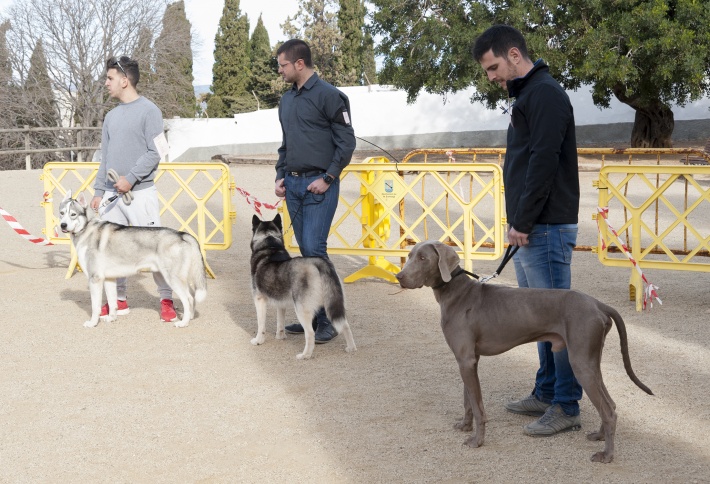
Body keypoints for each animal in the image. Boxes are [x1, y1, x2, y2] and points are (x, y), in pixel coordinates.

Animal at [59, 190, 207, 328]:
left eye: (73, 214)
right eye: (61, 213)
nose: (63, 225)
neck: (86, 228)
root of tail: (182, 234)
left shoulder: (95, 279)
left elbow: (95, 307)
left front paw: (92, 323)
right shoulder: (108, 279)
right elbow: (112, 302)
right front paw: (111, 318)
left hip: (172, 278)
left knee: (188, 298)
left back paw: (184, 322)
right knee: (192, 296)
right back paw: (190, 317)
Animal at [253, 216, 358, 360]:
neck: (269, 243)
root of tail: (318, 262)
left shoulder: (259, 299)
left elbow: (260, 325)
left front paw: (258, 340)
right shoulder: (281, 303)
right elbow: (280, 322)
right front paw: (280, 336)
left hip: (301, 308)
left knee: (310, 333)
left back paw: (305, 355)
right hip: (332, 301)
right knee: (345, 325)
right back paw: (351, 348)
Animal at [398, 240, 652, 464]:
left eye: (423, 258)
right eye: (409, 256)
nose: (399, 277)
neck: (457, 292)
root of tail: (598, 304)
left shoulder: (466, 360)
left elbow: (478, 407)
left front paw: (477, 441)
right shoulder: (467, 360)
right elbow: (467, 399)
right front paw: (464, 426)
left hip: (580, 362)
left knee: (608, 410)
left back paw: (606, 455)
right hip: (591, 359)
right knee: (611, 403)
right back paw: (598, 436)